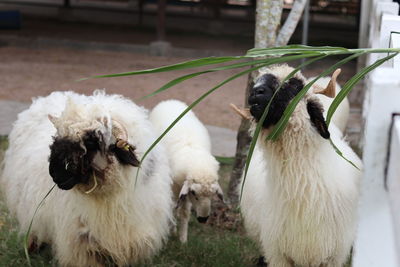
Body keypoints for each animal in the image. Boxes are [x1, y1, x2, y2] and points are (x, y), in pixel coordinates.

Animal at [150, 100, 225, 245]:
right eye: (194, 192)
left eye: (213, 194)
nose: (203, 219)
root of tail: (170, 101)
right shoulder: (174, 187)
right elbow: (173, 207)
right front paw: (173, 230)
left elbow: (184, 213)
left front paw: (183, 239)